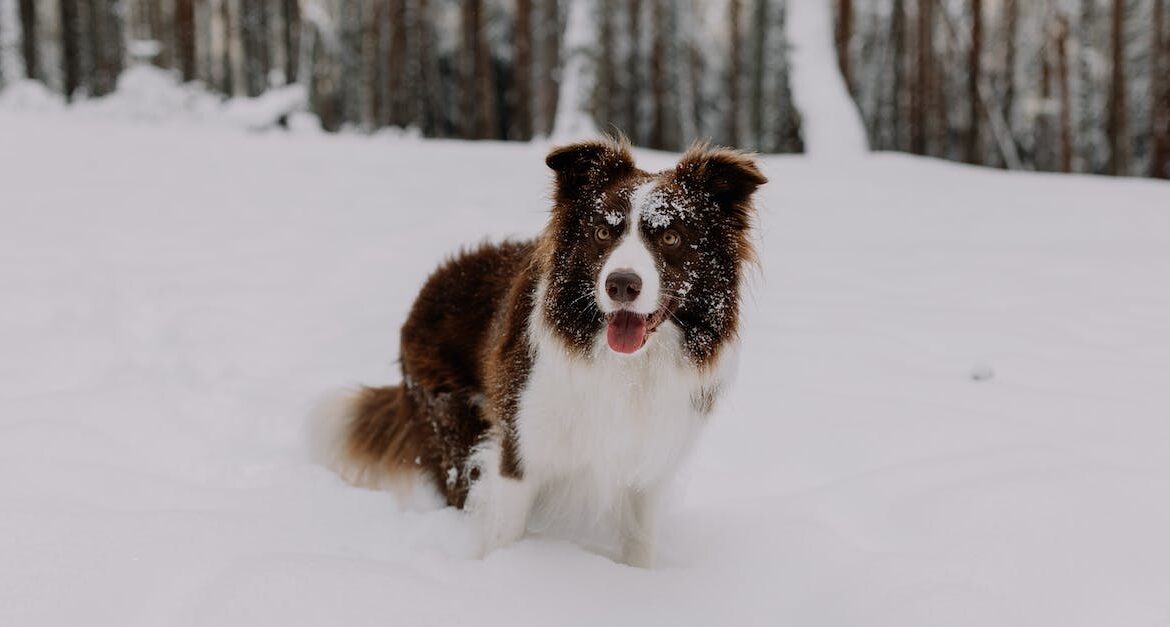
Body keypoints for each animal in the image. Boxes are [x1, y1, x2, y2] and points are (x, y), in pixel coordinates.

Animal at [313, 138, 767, 568]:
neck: (625, 367)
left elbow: (639, 544)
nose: (621, 284)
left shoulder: (646, 462)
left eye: (671, 237)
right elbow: (504, 533)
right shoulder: (518, 452)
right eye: (603, 233)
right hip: (452, 421)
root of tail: (433, 281)